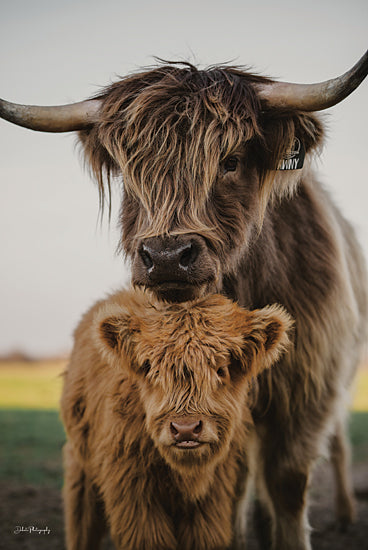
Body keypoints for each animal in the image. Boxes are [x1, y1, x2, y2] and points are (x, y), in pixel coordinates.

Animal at [60, 288, 292, 550]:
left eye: (221, 369)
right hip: (80, 471)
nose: (186, 429)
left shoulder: (212, 502)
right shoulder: (133, 496)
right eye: (152, 369)